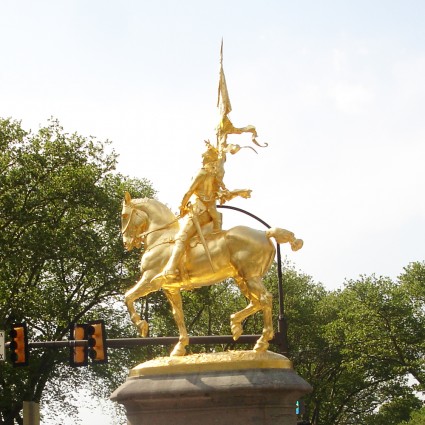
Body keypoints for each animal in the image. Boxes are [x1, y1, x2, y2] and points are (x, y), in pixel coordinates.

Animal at [121, 192, 304, 354]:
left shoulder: (150, 280)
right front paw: (180, 347)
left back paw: (261, 342)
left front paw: (141, 325)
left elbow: (128, 296)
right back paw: (235, 324)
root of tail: (265, 233)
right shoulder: (170, 288)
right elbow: (178, 314)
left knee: (265, 299)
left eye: (124, 215)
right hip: (242, 278)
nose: (125, 243)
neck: (161, 238)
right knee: (257, 301)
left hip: (250, 277)